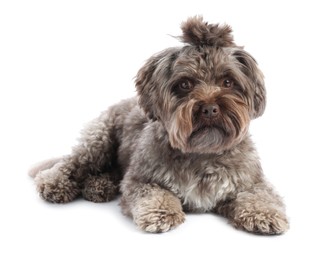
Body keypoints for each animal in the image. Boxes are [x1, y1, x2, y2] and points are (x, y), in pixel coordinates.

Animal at [30, 17, 290, 235]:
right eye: (185, 84)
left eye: (228, 81)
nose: (209, 108)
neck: (201, 153)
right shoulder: (140, 180)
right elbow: (155, 193)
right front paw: (161, 213)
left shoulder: (251, 180)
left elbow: (260, 195)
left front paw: (264, 214)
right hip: (97, 142)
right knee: (70, 164)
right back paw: (55, 183)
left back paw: (99, 185)